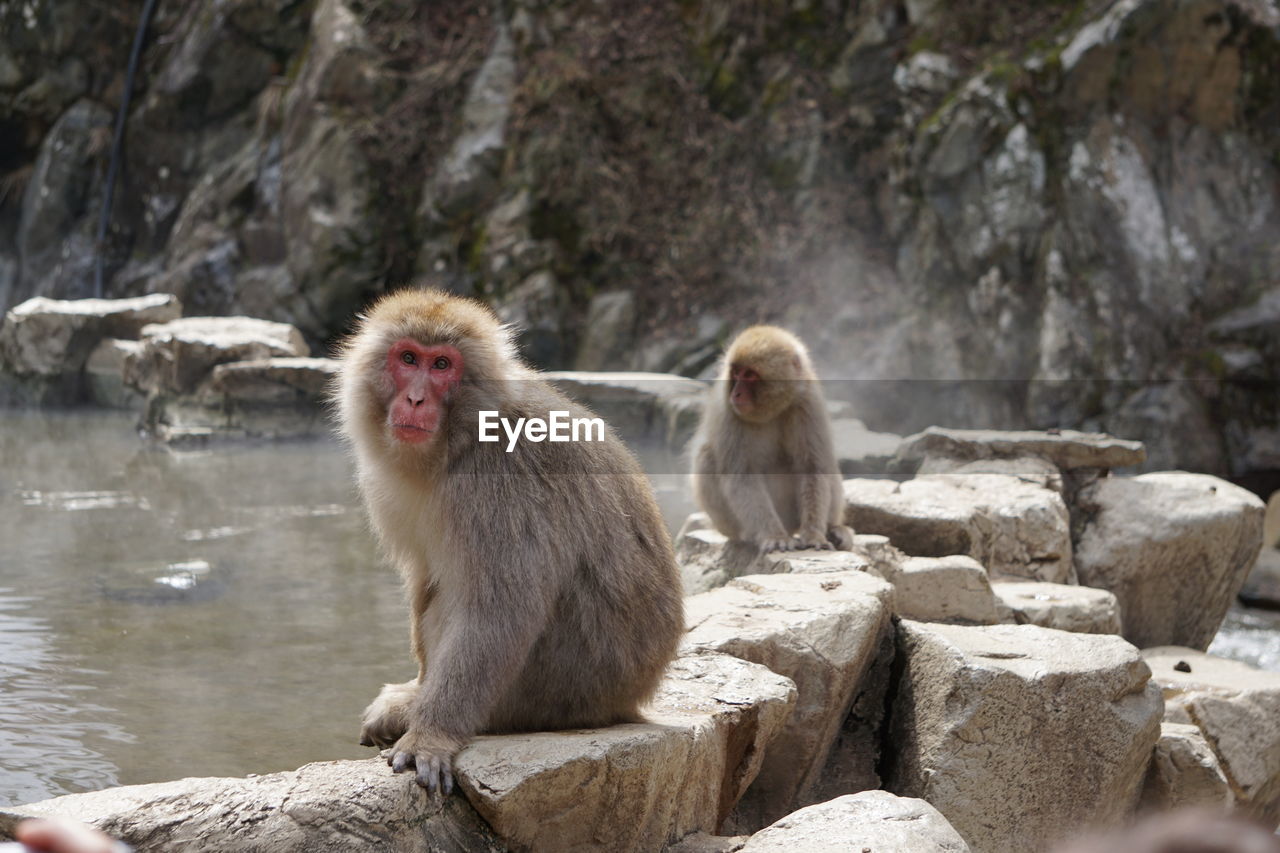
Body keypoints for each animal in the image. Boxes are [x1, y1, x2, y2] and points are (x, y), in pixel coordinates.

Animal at [335, 286, 686, 788]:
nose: (416, 399)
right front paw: (416, 695)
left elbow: (498, 612)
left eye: (442, 365)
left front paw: (431, 733)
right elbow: (426, 578)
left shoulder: (498, 481)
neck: (459, 440)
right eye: (408, 358)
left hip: (558, 689)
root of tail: (631, 698)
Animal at [686, 324, 855, 550]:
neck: (771, 411)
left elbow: (813, 467)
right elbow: (742, 476)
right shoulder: (729, 415)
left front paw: (814, 535)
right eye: (736, 372)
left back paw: (834, 529)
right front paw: (774, 536)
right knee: (706, 457)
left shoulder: (807, 403)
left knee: (827, 463)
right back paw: (748, 535)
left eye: (750, 375)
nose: (736, 394)